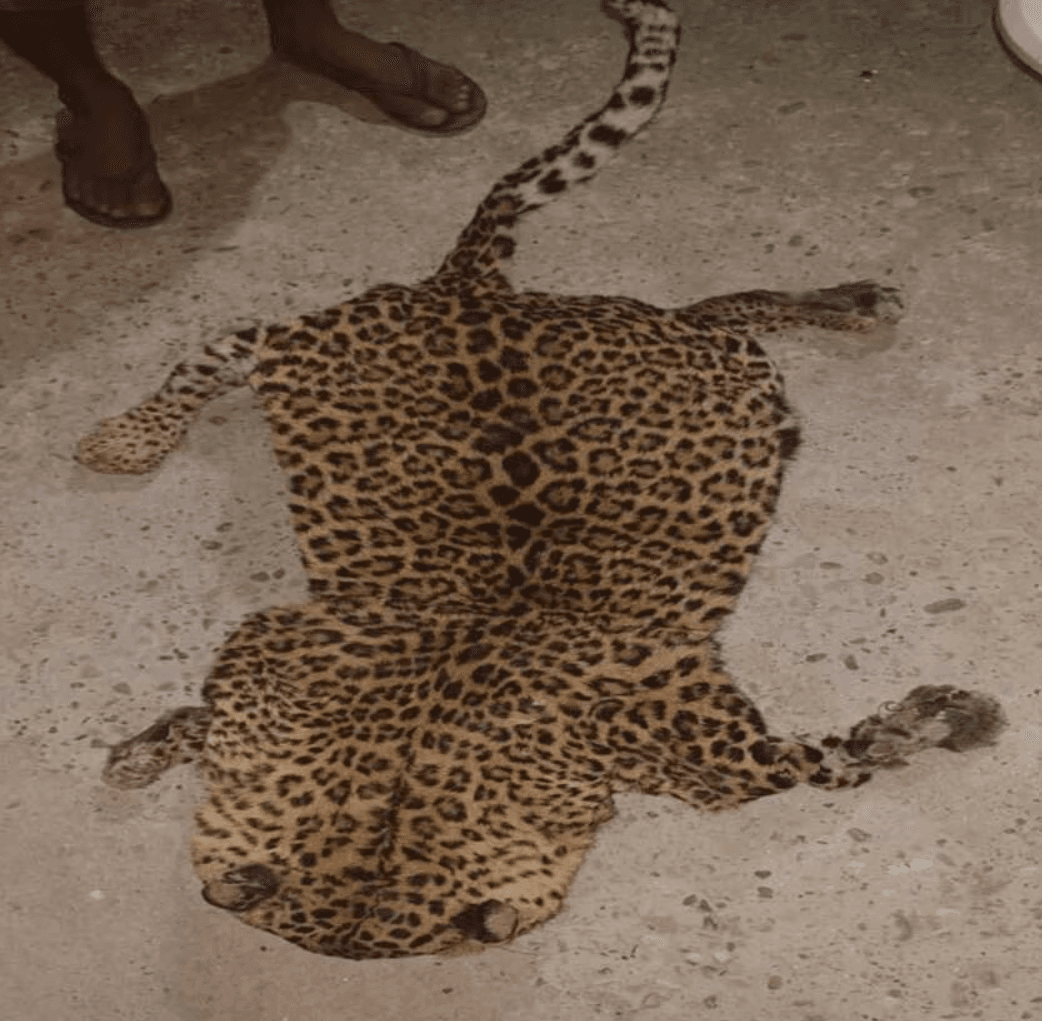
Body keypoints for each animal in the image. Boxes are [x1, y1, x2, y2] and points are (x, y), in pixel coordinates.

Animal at [82, 0, 1005, 960]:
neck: (403, 787)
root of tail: (467, 290)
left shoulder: (716, 746)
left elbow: (835, 760)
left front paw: (945, 714)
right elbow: (835, 760)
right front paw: (142, 750)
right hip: (357, 346)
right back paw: (132, 436)